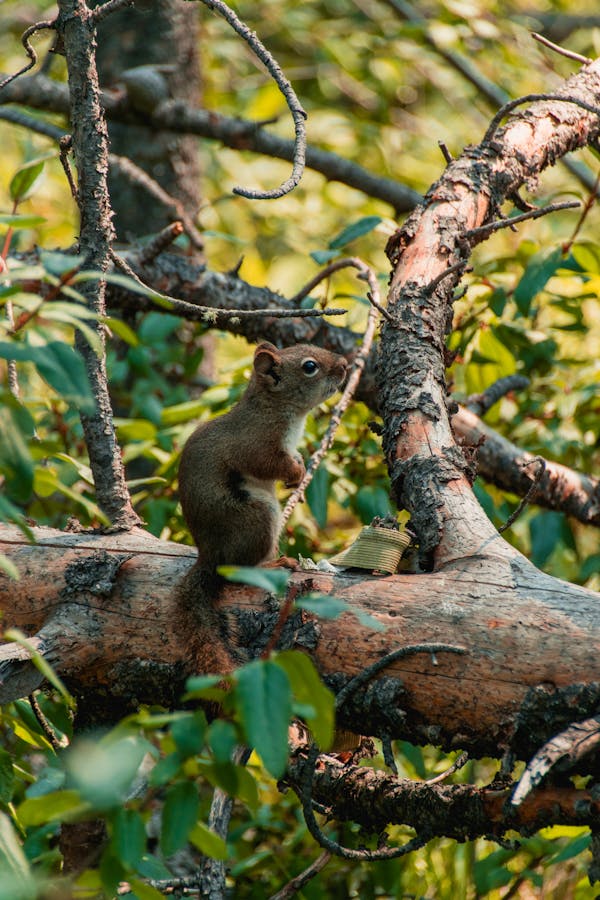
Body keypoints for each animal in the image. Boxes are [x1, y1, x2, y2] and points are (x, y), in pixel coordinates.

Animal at [175, 342, 346, 676]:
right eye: (310, 366)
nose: (345, 364)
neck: (274, 407)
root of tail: (209, 556)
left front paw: (300, 468)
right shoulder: (256, 444)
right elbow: (268, 464)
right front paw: (296, 472)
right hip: (258, 516)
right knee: (238, 570)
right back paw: (274, 564)